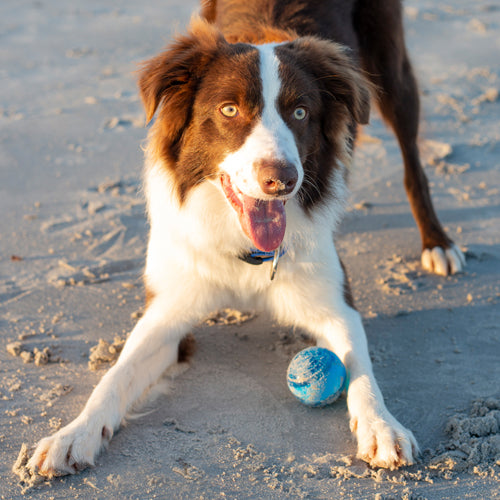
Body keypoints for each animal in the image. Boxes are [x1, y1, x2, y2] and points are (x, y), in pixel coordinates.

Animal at [27, 0, 464, 476]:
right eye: (230, 110)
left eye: (301, 113)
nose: (283, 180)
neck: (246, 251)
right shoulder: (167, 310)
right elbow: (115, 375)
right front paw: (74, 435)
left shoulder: (334, 305)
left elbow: (361, 367)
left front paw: (382, 426)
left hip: (392, 72)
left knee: (412, 162)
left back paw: (437, 242)